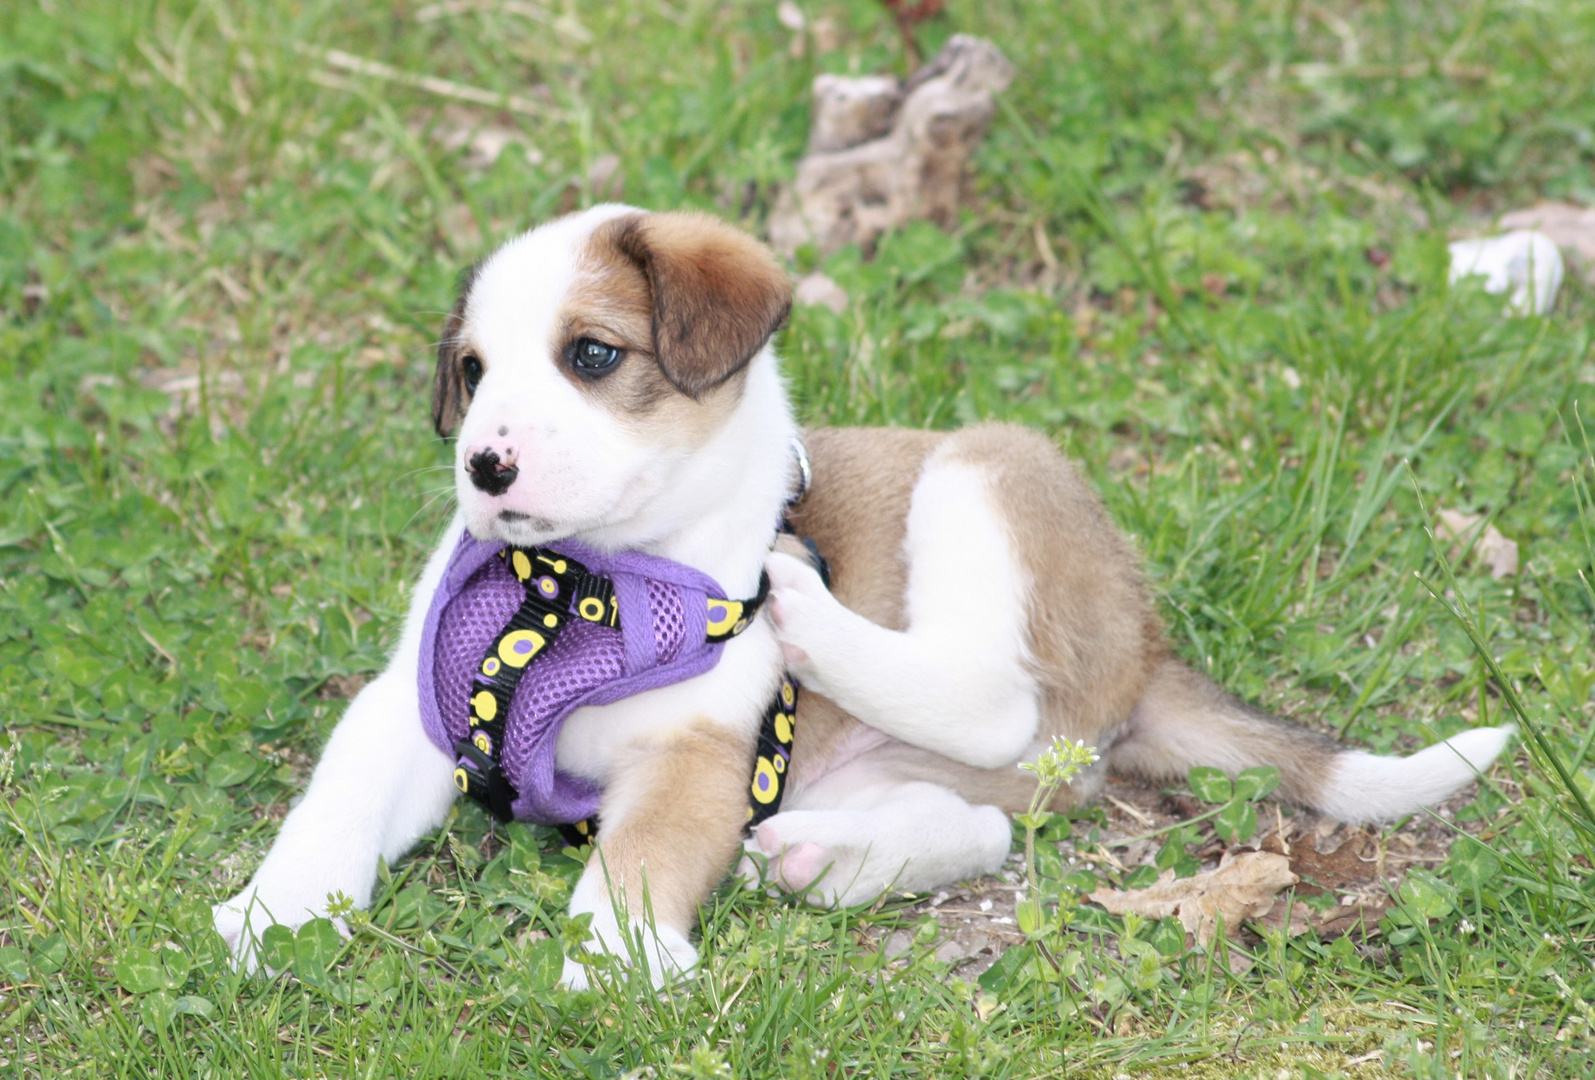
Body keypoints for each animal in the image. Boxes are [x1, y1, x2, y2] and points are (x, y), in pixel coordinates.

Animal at [208, 204, 1505, 982]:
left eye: (592, 356)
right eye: (471, 373)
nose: (484, 467)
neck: (577, 586)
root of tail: (1145, 650)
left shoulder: (693, 758)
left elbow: (630, 869)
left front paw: (613, 966)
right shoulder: (414, 712)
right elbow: (331, 810)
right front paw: (276, 914)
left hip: (985, 470)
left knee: (988, 696)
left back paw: (810, 617)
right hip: (884, 768)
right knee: (984, 823)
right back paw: (823, 859)